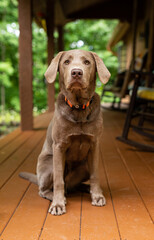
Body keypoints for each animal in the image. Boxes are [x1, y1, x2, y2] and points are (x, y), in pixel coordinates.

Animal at [19, 49, 110, 216]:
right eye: (66, 62)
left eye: (87, 62)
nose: (76, 72)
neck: (79, 108)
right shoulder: (59, 146)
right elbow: (58, 181)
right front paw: (58, 204)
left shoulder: (94, 144)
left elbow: (95, 175)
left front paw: (97, 195)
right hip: (49, 164)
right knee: (46, 189)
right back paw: (56, 196)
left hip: (84, 166)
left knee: (72, 185)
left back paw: (86, 188)